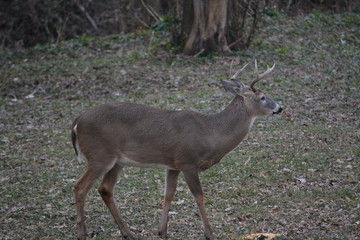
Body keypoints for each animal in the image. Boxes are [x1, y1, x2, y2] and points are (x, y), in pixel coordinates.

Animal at [71, 59, 282, 238]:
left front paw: (162, 231)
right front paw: (209, 233)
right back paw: (82, 233)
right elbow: (199, 196)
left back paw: (127, 233)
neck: (211, 132)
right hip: (100, 155)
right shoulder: (188, 161)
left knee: (105, 189)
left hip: (116, 161)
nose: (279, 107)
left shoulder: (173, 164)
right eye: (263, 97)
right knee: (80, 187)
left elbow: (168, 194)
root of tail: (77, 121)